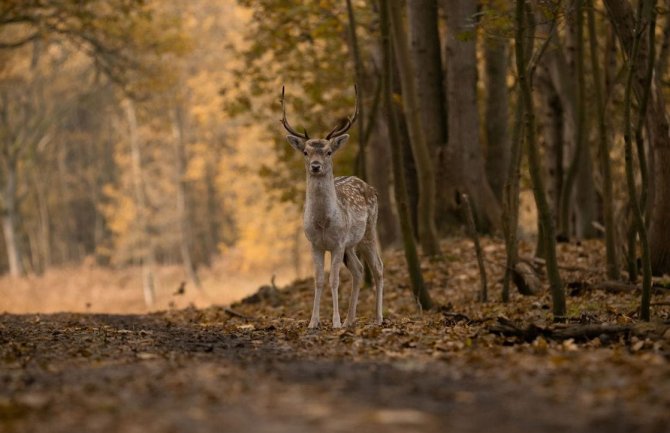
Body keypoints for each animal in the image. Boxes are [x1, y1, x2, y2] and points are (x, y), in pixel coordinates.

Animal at [280, 85, 386, 328]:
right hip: (351, 245)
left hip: (369, 231)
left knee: (377, 268)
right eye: (306, 152)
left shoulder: (337, 243)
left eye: (328, 152)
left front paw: (335, 322)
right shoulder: (314, 244)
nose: (316, 166)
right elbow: (319, 280)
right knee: (359, 270)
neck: (322, 223)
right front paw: (313, 322)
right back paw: (350, 320)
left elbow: (334, 280)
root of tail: (371, 187)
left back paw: (377, 318)